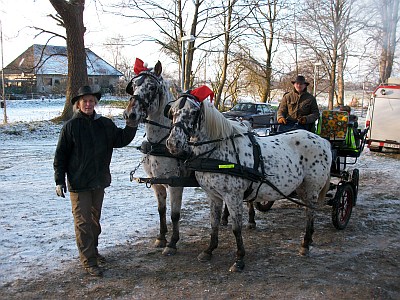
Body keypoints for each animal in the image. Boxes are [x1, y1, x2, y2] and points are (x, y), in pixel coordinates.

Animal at [122, 59, 193, 255]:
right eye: (133, 86)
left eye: (152, 87)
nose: (129, 115)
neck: (159, 143)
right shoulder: (156, 182)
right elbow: (161, 210)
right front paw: (161, 238)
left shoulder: (176, 184)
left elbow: (174, 214)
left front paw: (172, 243)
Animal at [165, 93, 332, 272]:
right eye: (172, 112)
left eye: (193, 112)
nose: (173, 143)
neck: (217, 150)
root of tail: (323, 141)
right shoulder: (213, 196)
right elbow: (214, 223)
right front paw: (209, 250)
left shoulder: (233, 197)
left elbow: (236, 228)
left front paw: (239, 259)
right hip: (301, 188)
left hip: (312, 189)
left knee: (310, 214)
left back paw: (305, 244)